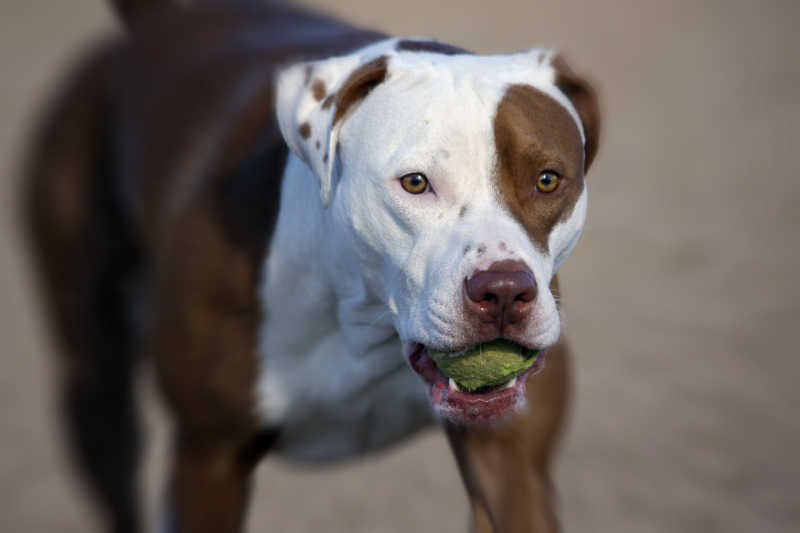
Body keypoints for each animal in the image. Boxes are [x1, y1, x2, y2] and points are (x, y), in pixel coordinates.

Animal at [23, 1, 600, 532]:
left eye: (548, 180)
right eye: (415, 183)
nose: (502, 291)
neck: (363, 317)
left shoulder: (511, 461)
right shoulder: (210, 459)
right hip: (98, 384)